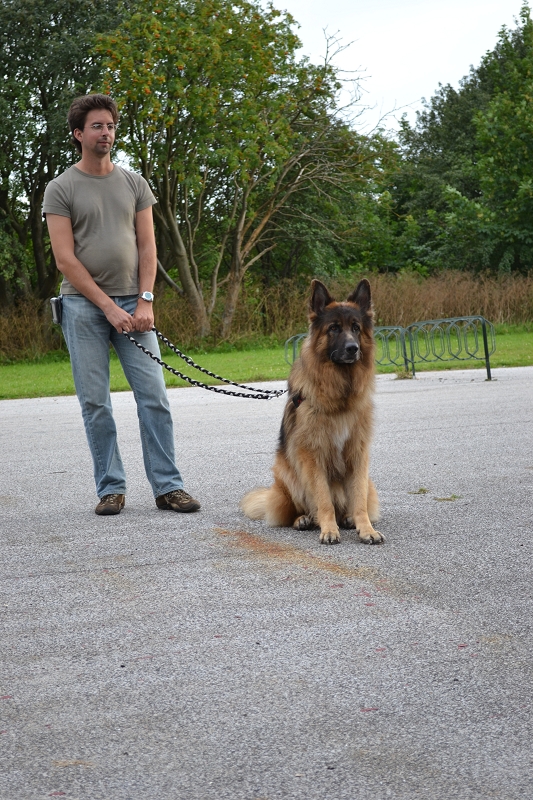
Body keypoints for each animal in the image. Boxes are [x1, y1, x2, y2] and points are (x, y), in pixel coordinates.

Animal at [240, 278, 383, 545]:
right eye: (334, 328)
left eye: (356, 328)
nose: (353, 348)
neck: (338, 393)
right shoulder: (312, 456)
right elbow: (323, 499)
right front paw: (329, 530)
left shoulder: (358, 455)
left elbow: (359, 499)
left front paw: (365, 528)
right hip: (289, 476)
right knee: (302, 509)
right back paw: (305, 519)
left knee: (348, 504)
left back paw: (347, 517)